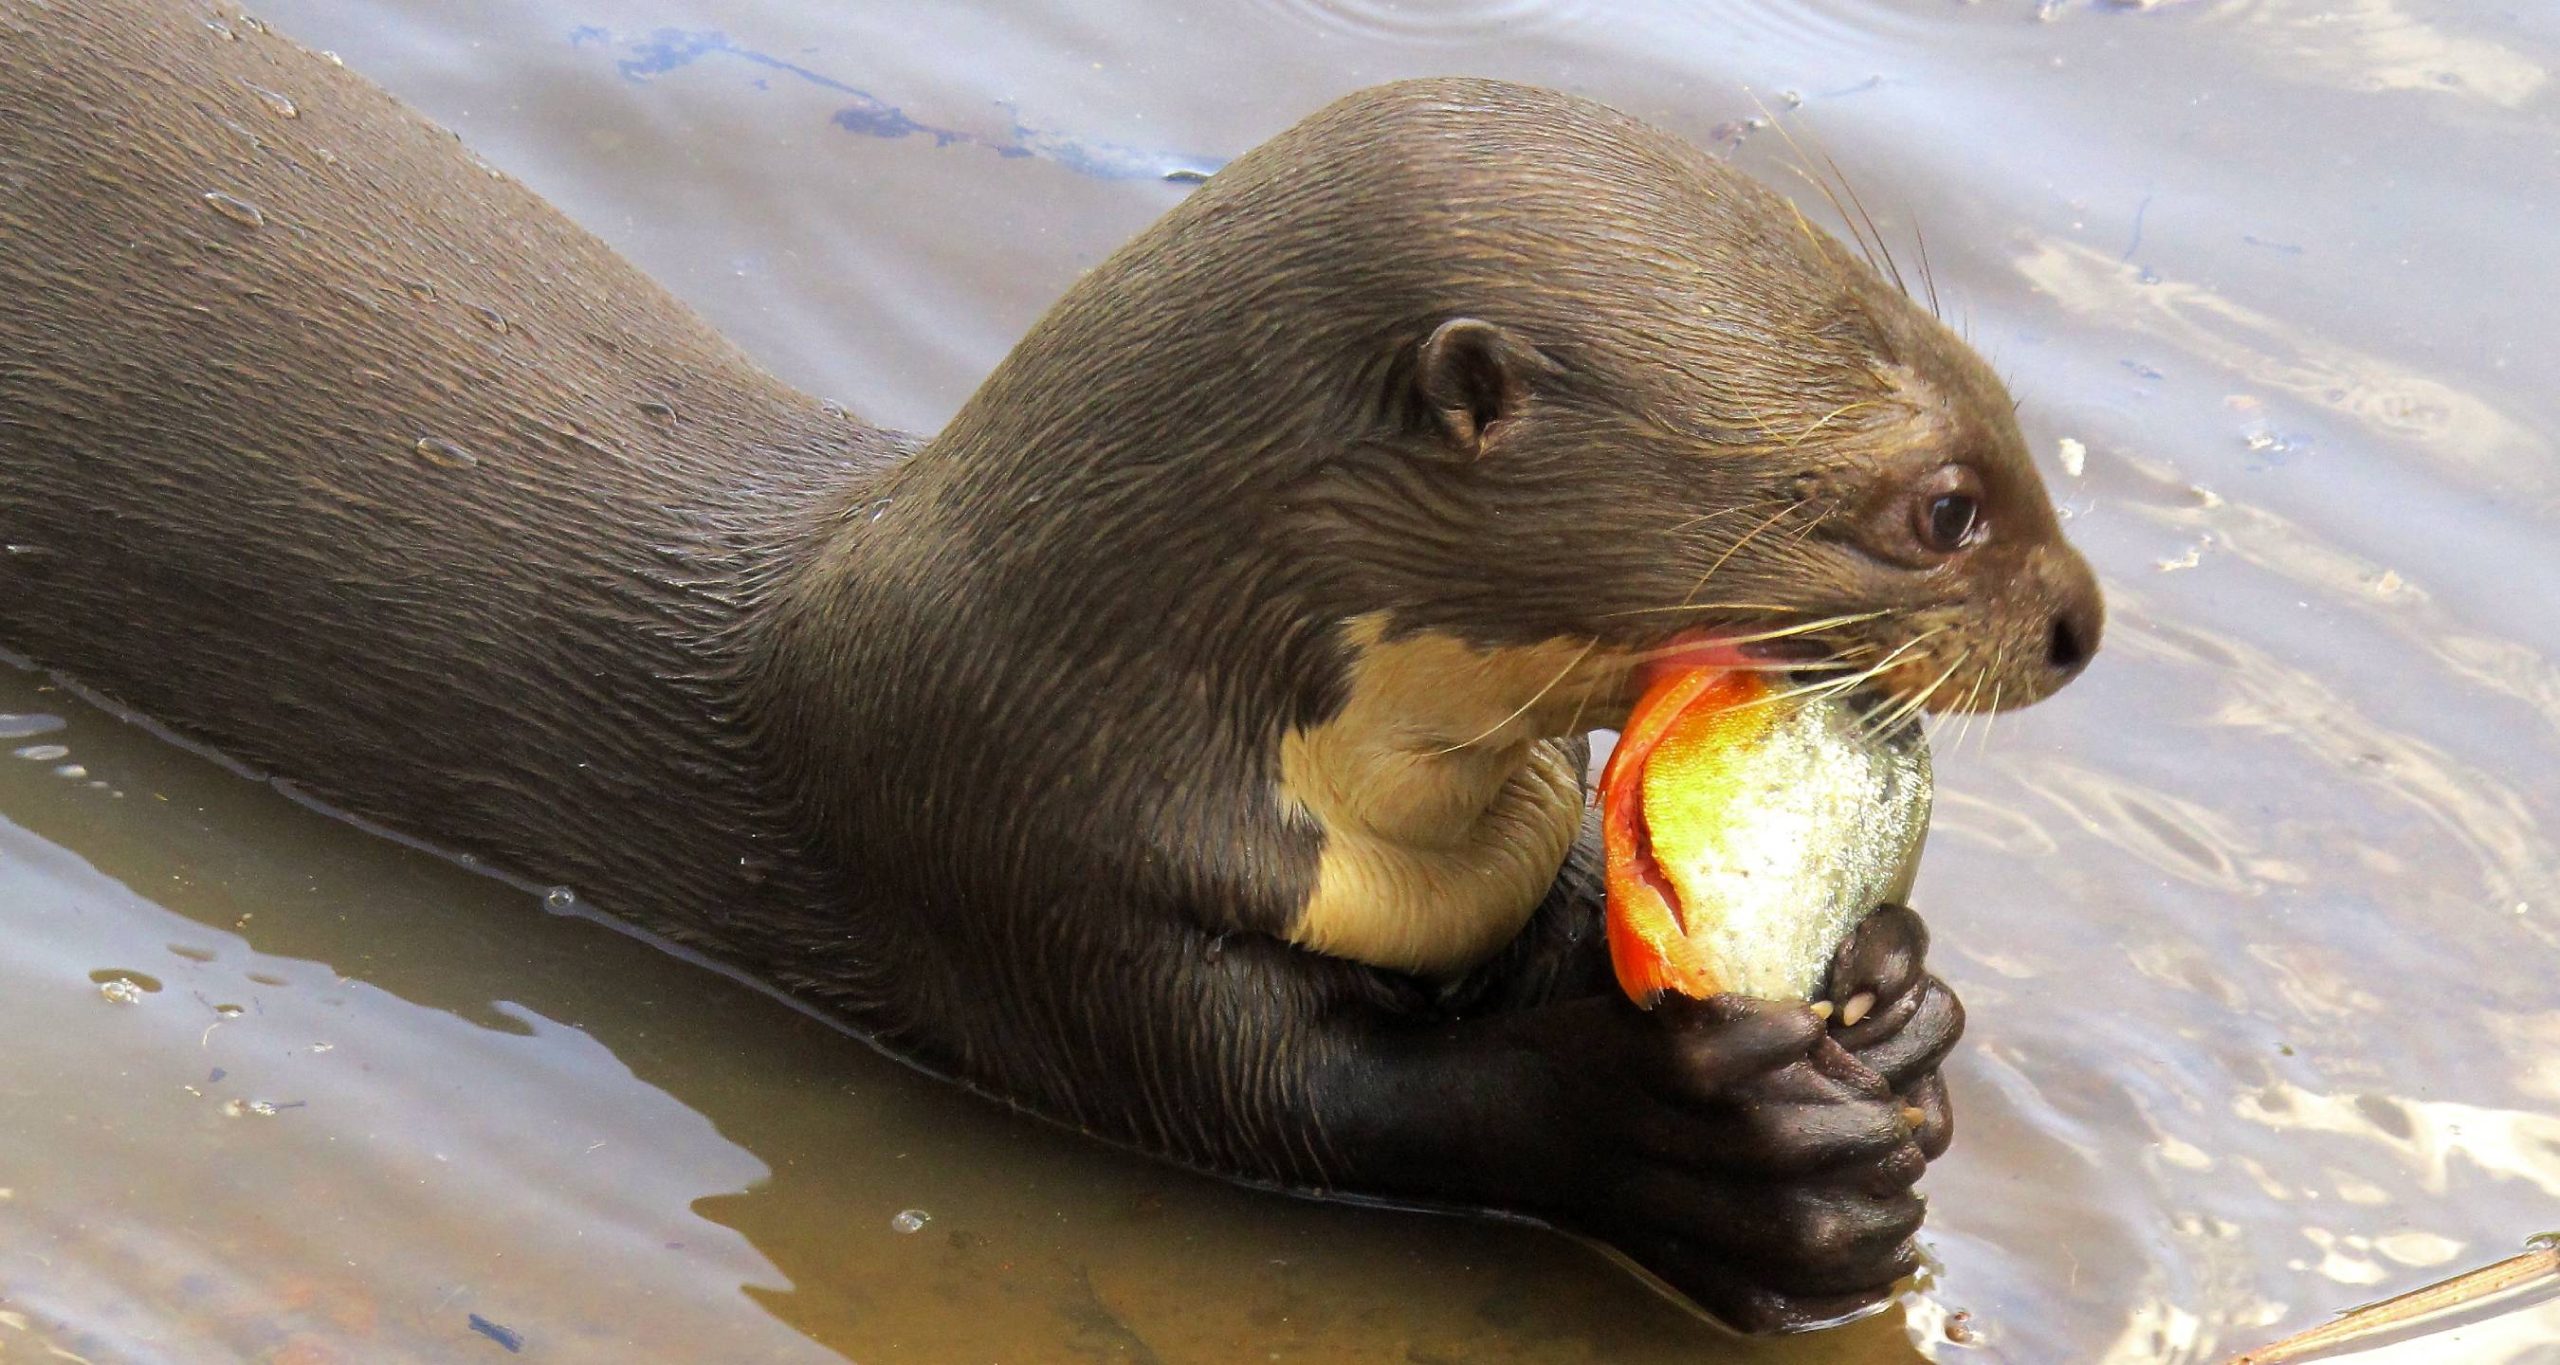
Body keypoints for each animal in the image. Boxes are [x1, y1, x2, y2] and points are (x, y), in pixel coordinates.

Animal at [0, 0, 2099, 1333]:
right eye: (1935, 508)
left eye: (2004, 403)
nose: (2084, 623)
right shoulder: (1005, 863)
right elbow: (1294, 1104)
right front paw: (1690, 1144)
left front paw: (1897, 1006)